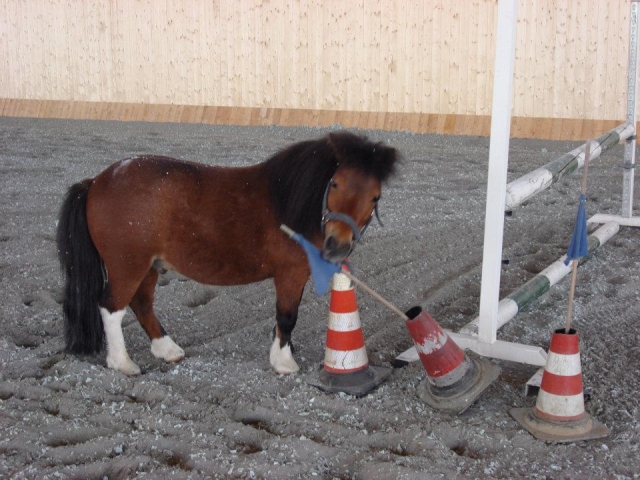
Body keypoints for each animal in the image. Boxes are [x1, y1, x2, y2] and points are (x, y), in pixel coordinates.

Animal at [56, 130, 398, 376]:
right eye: (336, 184)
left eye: (375, 196)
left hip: (151, 265)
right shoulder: (291, 272)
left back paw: (167, 350)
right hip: (128, 265)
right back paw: (122, 363)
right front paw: (284, 362)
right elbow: (287, 316)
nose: (337, 245)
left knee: (141, 304)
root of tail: (97, 181)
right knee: (111, 307)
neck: (291, 201)